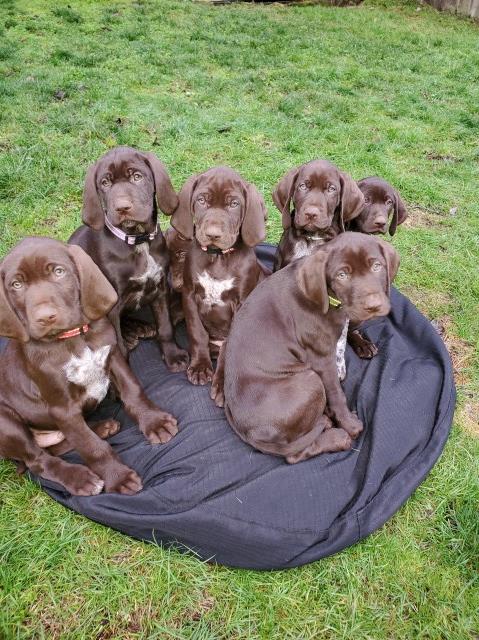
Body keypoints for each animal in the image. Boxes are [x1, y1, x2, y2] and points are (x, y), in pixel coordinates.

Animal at [0, 238, 179, 498]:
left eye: (58, 271)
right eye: (16, 284)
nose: (44, 317)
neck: (73, 337)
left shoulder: (113, 357)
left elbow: (133, 391)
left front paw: (154, 422)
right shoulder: (63, 409)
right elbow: (90, 447)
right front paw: (118, 476)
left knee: (57, 446)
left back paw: (102, 427)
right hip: (7, 423)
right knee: (39, 460)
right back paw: (79, 477)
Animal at [70, 146, 189, 370]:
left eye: (137, 176)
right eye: (105, 183)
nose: (122, 208)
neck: (137, 240)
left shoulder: (160, 288)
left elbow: (165, 326)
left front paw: (172, 355)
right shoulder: (111, 305)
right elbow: (118, 347)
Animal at [171, 164, 270, 400]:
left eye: (234, 204)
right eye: (201, 200)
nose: (212, 234)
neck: (217, 258)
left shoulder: (241, 303)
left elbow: (230, 347)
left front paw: (224, 383)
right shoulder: (189, 294)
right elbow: (196, 332)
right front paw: (200, 366)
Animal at [225, 232, 402, 462]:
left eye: (377, 266)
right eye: (342, 275)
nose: (373, 306)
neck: (331, 300)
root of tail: (249, 434)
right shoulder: (322, 358)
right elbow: (336, 393)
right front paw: (350, 425)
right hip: (310, 380)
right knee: (295, 454)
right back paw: (337, 437)